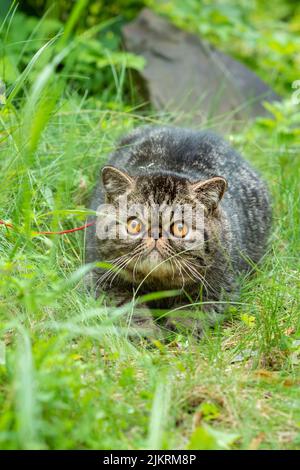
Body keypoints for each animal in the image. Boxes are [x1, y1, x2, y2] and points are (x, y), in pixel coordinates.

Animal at [85, 126, 272, 336]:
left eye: (179, 228)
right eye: (134, 225)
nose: (156, 235)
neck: (158, 285)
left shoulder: (218, 288)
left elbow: (191, 316)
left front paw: (180, 335)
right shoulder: (102, 279)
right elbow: (129, 311)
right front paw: (147, 334)